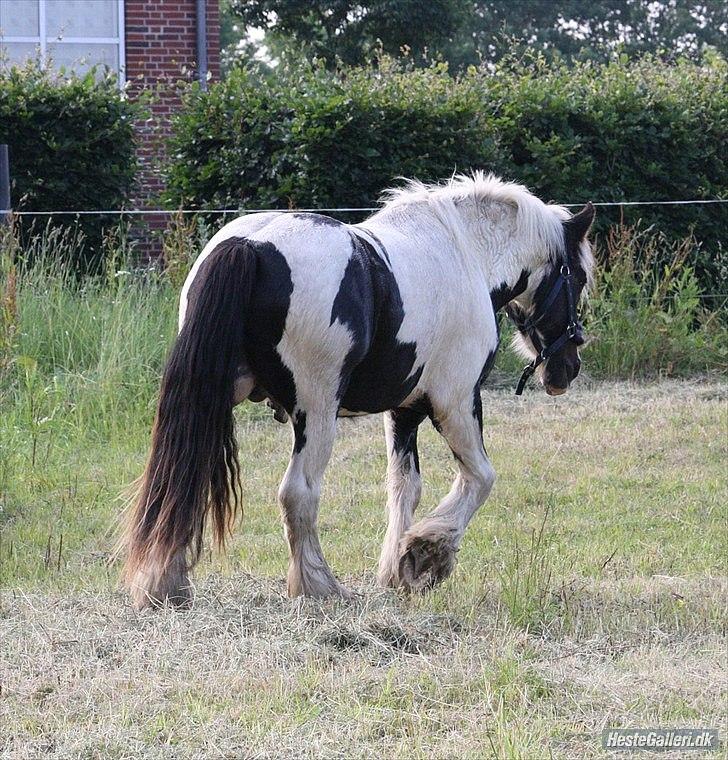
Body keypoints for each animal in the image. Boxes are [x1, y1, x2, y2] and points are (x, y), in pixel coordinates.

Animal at [122, 169, 596, 608]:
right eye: (578, 277)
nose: (567, 369)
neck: (464, 252)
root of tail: (250, 246)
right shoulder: (457, 402)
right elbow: (479, 478)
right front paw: (427, 554)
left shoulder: (405, 411)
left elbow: (405, 486)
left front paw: (396, 570)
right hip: (316, 414)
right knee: (297, 494)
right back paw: (320, 587)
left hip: (212, 402)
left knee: (184, 476)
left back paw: (166, 584)